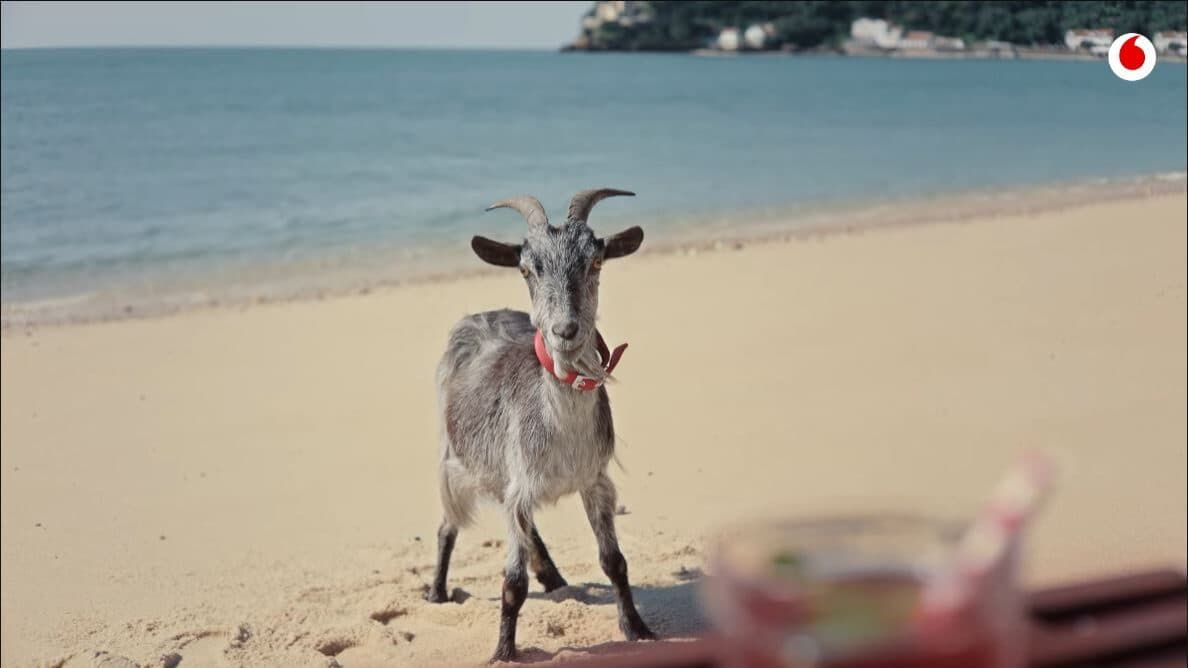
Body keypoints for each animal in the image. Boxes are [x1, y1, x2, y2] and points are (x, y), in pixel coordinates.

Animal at [426, 188, 654, 662]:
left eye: (595, 261)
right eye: (527, 269)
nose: (565, 330)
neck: (561, 431)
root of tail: (480, 315)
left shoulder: (593, 480)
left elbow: (615, 562)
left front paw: (637, 628)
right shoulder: (518, 489)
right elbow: (512, 584)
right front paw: (503, 653)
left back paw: (553, 577)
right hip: (453, 459)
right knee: (447, 526)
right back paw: (436, 592)